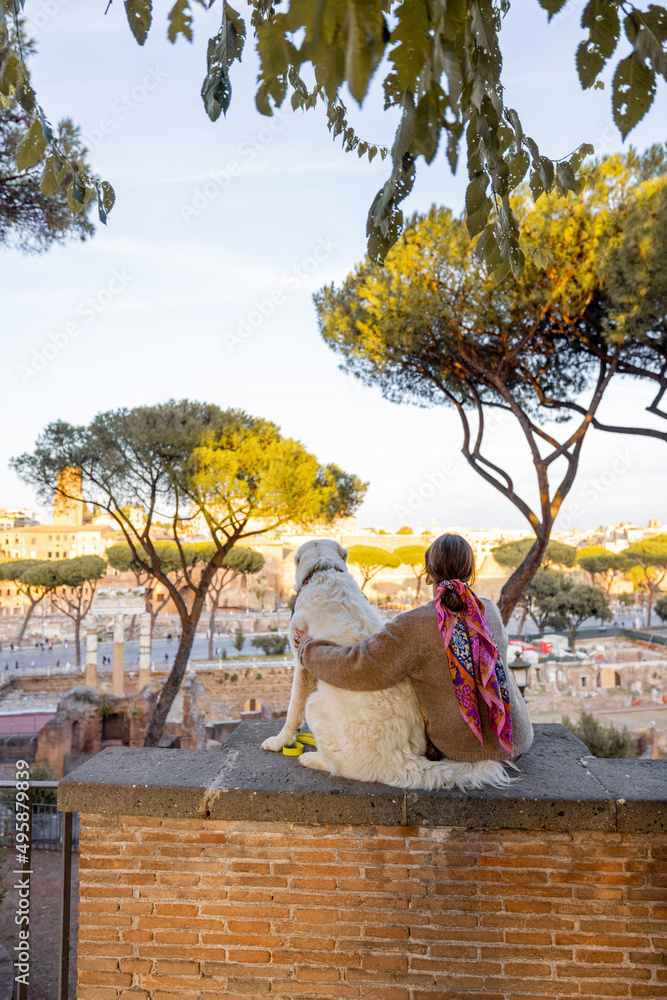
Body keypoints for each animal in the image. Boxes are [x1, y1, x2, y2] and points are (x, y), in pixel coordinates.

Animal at [260, 540, 512, 788]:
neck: (324, 571)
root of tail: (404, 761)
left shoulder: (302, 662)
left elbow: (292, 711)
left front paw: (279, 742)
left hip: (315, 705)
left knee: (344, 767)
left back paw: (314, 759)